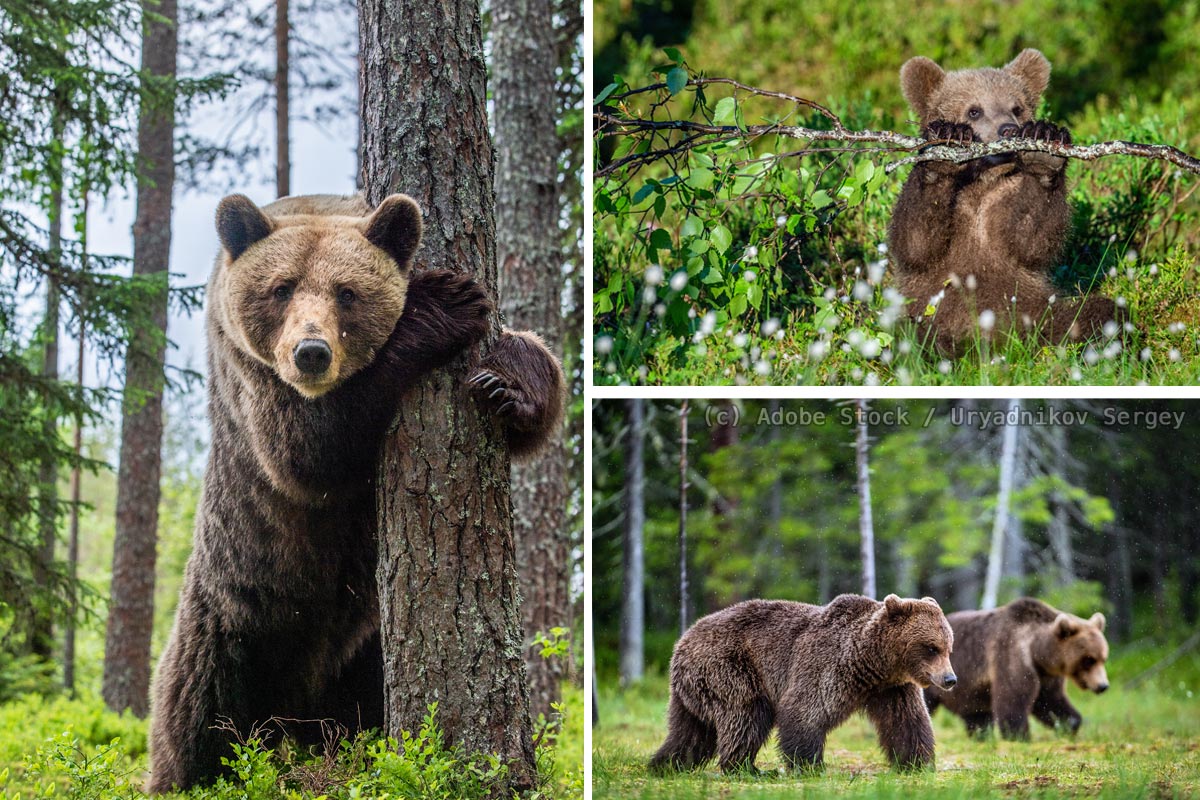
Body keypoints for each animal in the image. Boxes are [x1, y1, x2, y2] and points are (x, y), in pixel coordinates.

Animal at [145, 194, 566, 796]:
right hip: (232, 624)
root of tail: (297, 711)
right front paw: (442, 303)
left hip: (365, 650)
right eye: (281, 287)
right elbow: (310, 450)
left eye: (347, 292)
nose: (311, 352)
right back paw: (186, 774)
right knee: (196, 722)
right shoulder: (252, 381)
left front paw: (506, 383)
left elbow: (532, 382)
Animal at [648, 594, 955, 777]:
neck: (872, 662)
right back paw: (747, 768)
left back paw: (665, 764)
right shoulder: (827, 665)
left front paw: (918, 763)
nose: (950, 679)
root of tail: (682, 641)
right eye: (931, 648)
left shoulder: (892, 688)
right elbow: (805, 710)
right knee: (747, 716)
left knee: (691, 731)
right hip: (729, 667)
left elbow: (907, 722)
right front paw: (810, 765)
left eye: (948, 647)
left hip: (692, 691)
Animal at [888, 47, 1118, 352]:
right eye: (974, 110)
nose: (1007, 128)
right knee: (906, 335)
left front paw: (1044, 144)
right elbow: (916, 239)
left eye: (1016, 107)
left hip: (1035, 311)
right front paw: (944, 146)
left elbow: (1031, 238)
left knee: (1094, 313)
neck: (984, 181)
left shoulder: (1006, 200)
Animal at [921, 597, 1108, 743]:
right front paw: (1019, 734)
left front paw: (1070, 723)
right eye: (1089, 660)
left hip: (969, 689)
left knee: (976, 713)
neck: (1037, 651)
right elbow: (1014, 696)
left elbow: (1050, 700)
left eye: (1103, 658)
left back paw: (981, 736)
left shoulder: (1046, 675)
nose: (1103, 686)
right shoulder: (1011, 653)